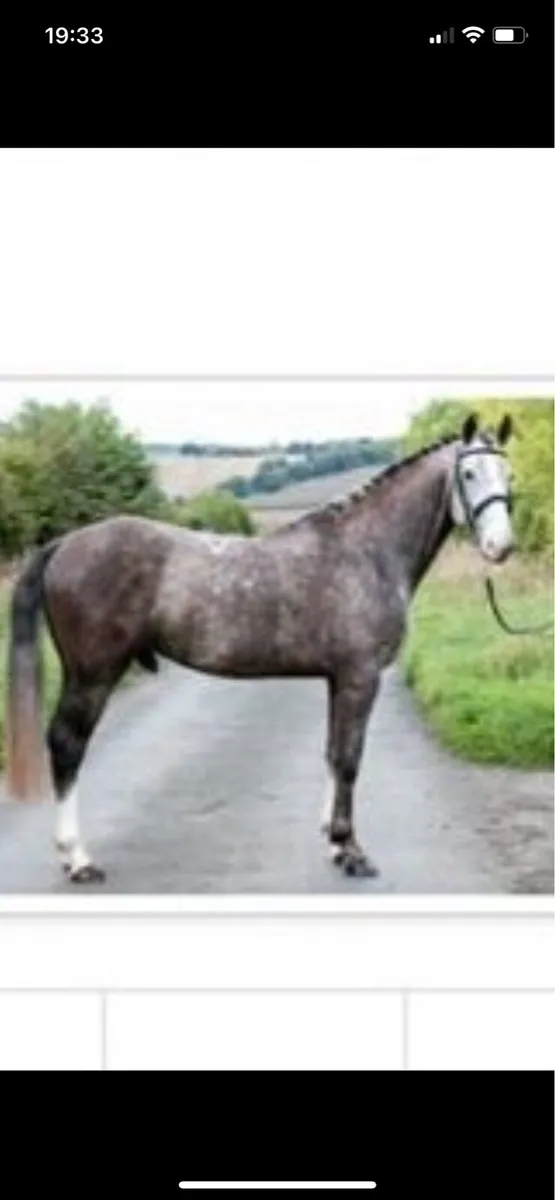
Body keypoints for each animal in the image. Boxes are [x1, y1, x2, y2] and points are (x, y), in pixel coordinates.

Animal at [5, 411, 515, 884]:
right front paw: (352, 852)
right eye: (469, 474)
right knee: (67, 745)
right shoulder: (360, 677)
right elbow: (350, 760)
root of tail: (66, 543)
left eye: (508, 475)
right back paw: (77, 859)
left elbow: (333, 755)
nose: (501, 546)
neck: (366, 552)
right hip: (93, 674)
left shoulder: (338, 679)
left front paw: (334, 844)